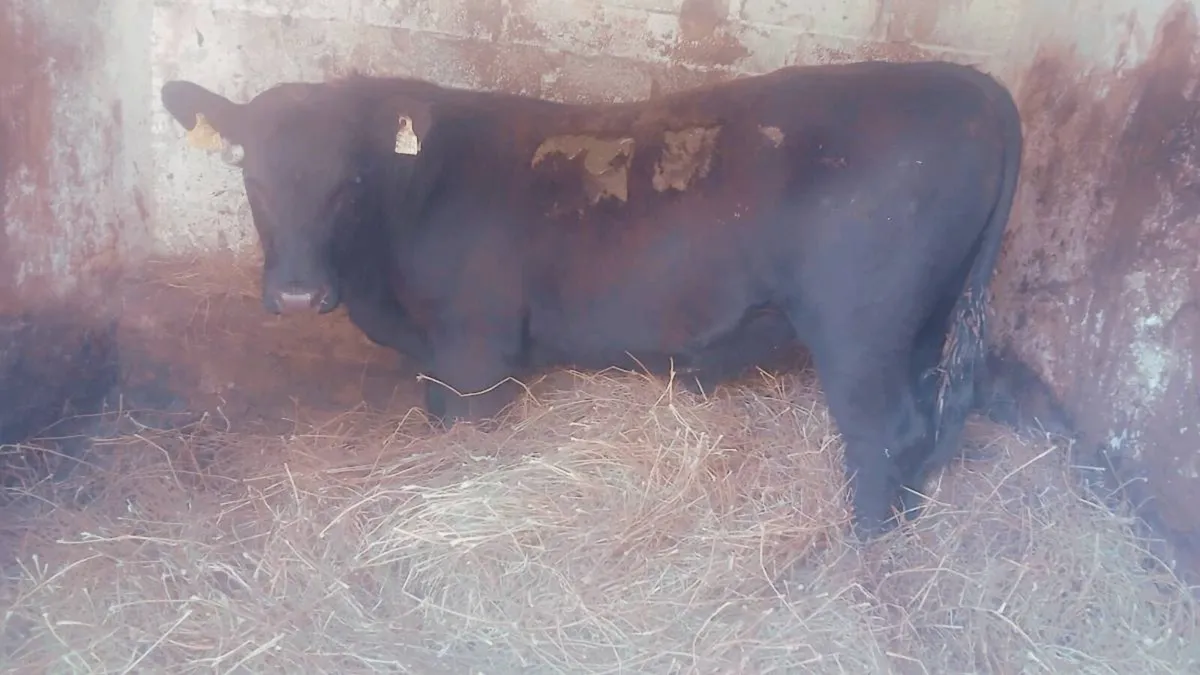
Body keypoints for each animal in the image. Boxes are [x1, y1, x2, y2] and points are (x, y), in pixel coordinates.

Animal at [159, 60, 1023, 538]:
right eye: (252, 177)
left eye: (350, 179)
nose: (299, 293)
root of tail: (973, 83)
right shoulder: (439, 358)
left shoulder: (475, 350)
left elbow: (468, 442)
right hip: (922, 322)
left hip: (859, 328)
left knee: (885, 433)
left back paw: (862, 554)